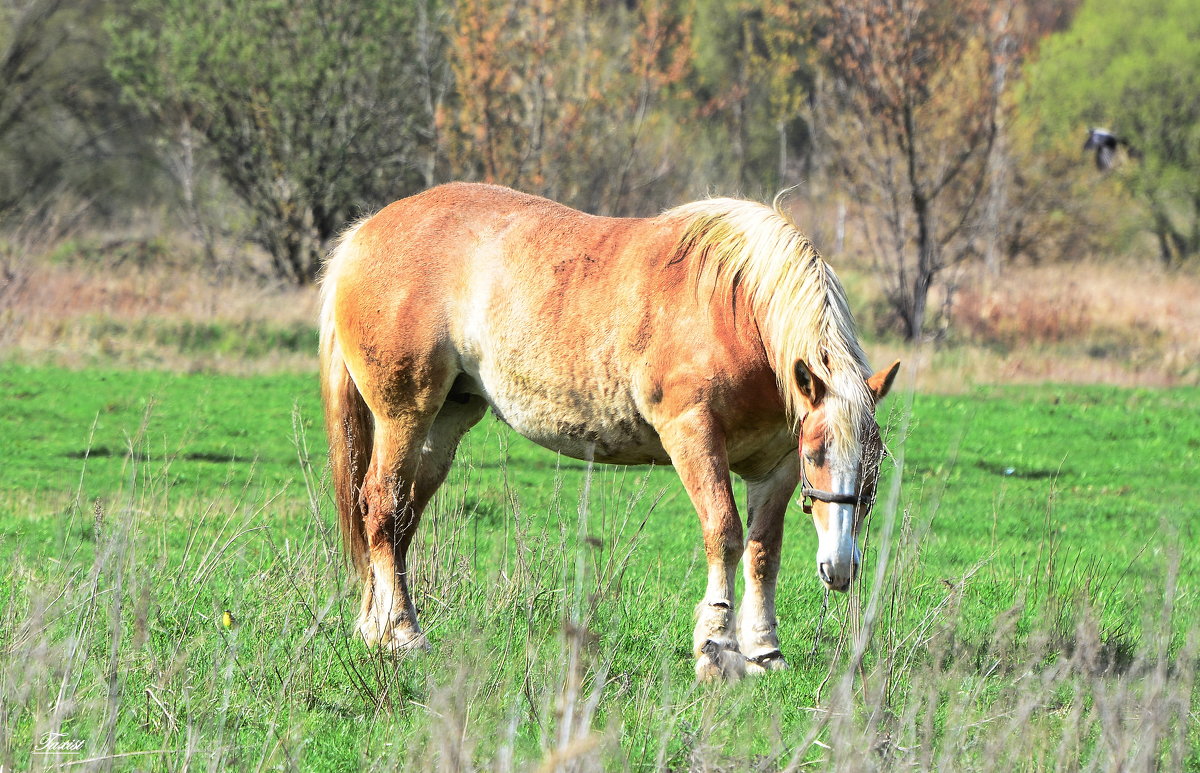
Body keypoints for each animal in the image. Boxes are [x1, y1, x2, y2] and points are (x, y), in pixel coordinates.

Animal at [321, 183, 902, 681]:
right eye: (818, 455)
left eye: (873, 465)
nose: (841, 567)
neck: (736, 311)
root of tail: (364, 232)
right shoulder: (694, 436)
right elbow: (724, 533)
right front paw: (716, 647)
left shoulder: (774, 465)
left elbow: (764, 549)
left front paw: (764, 652)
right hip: (404, 414)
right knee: (381, 507)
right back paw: (401, 635)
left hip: (445, 421)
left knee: (400, 520)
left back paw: (376, 628)